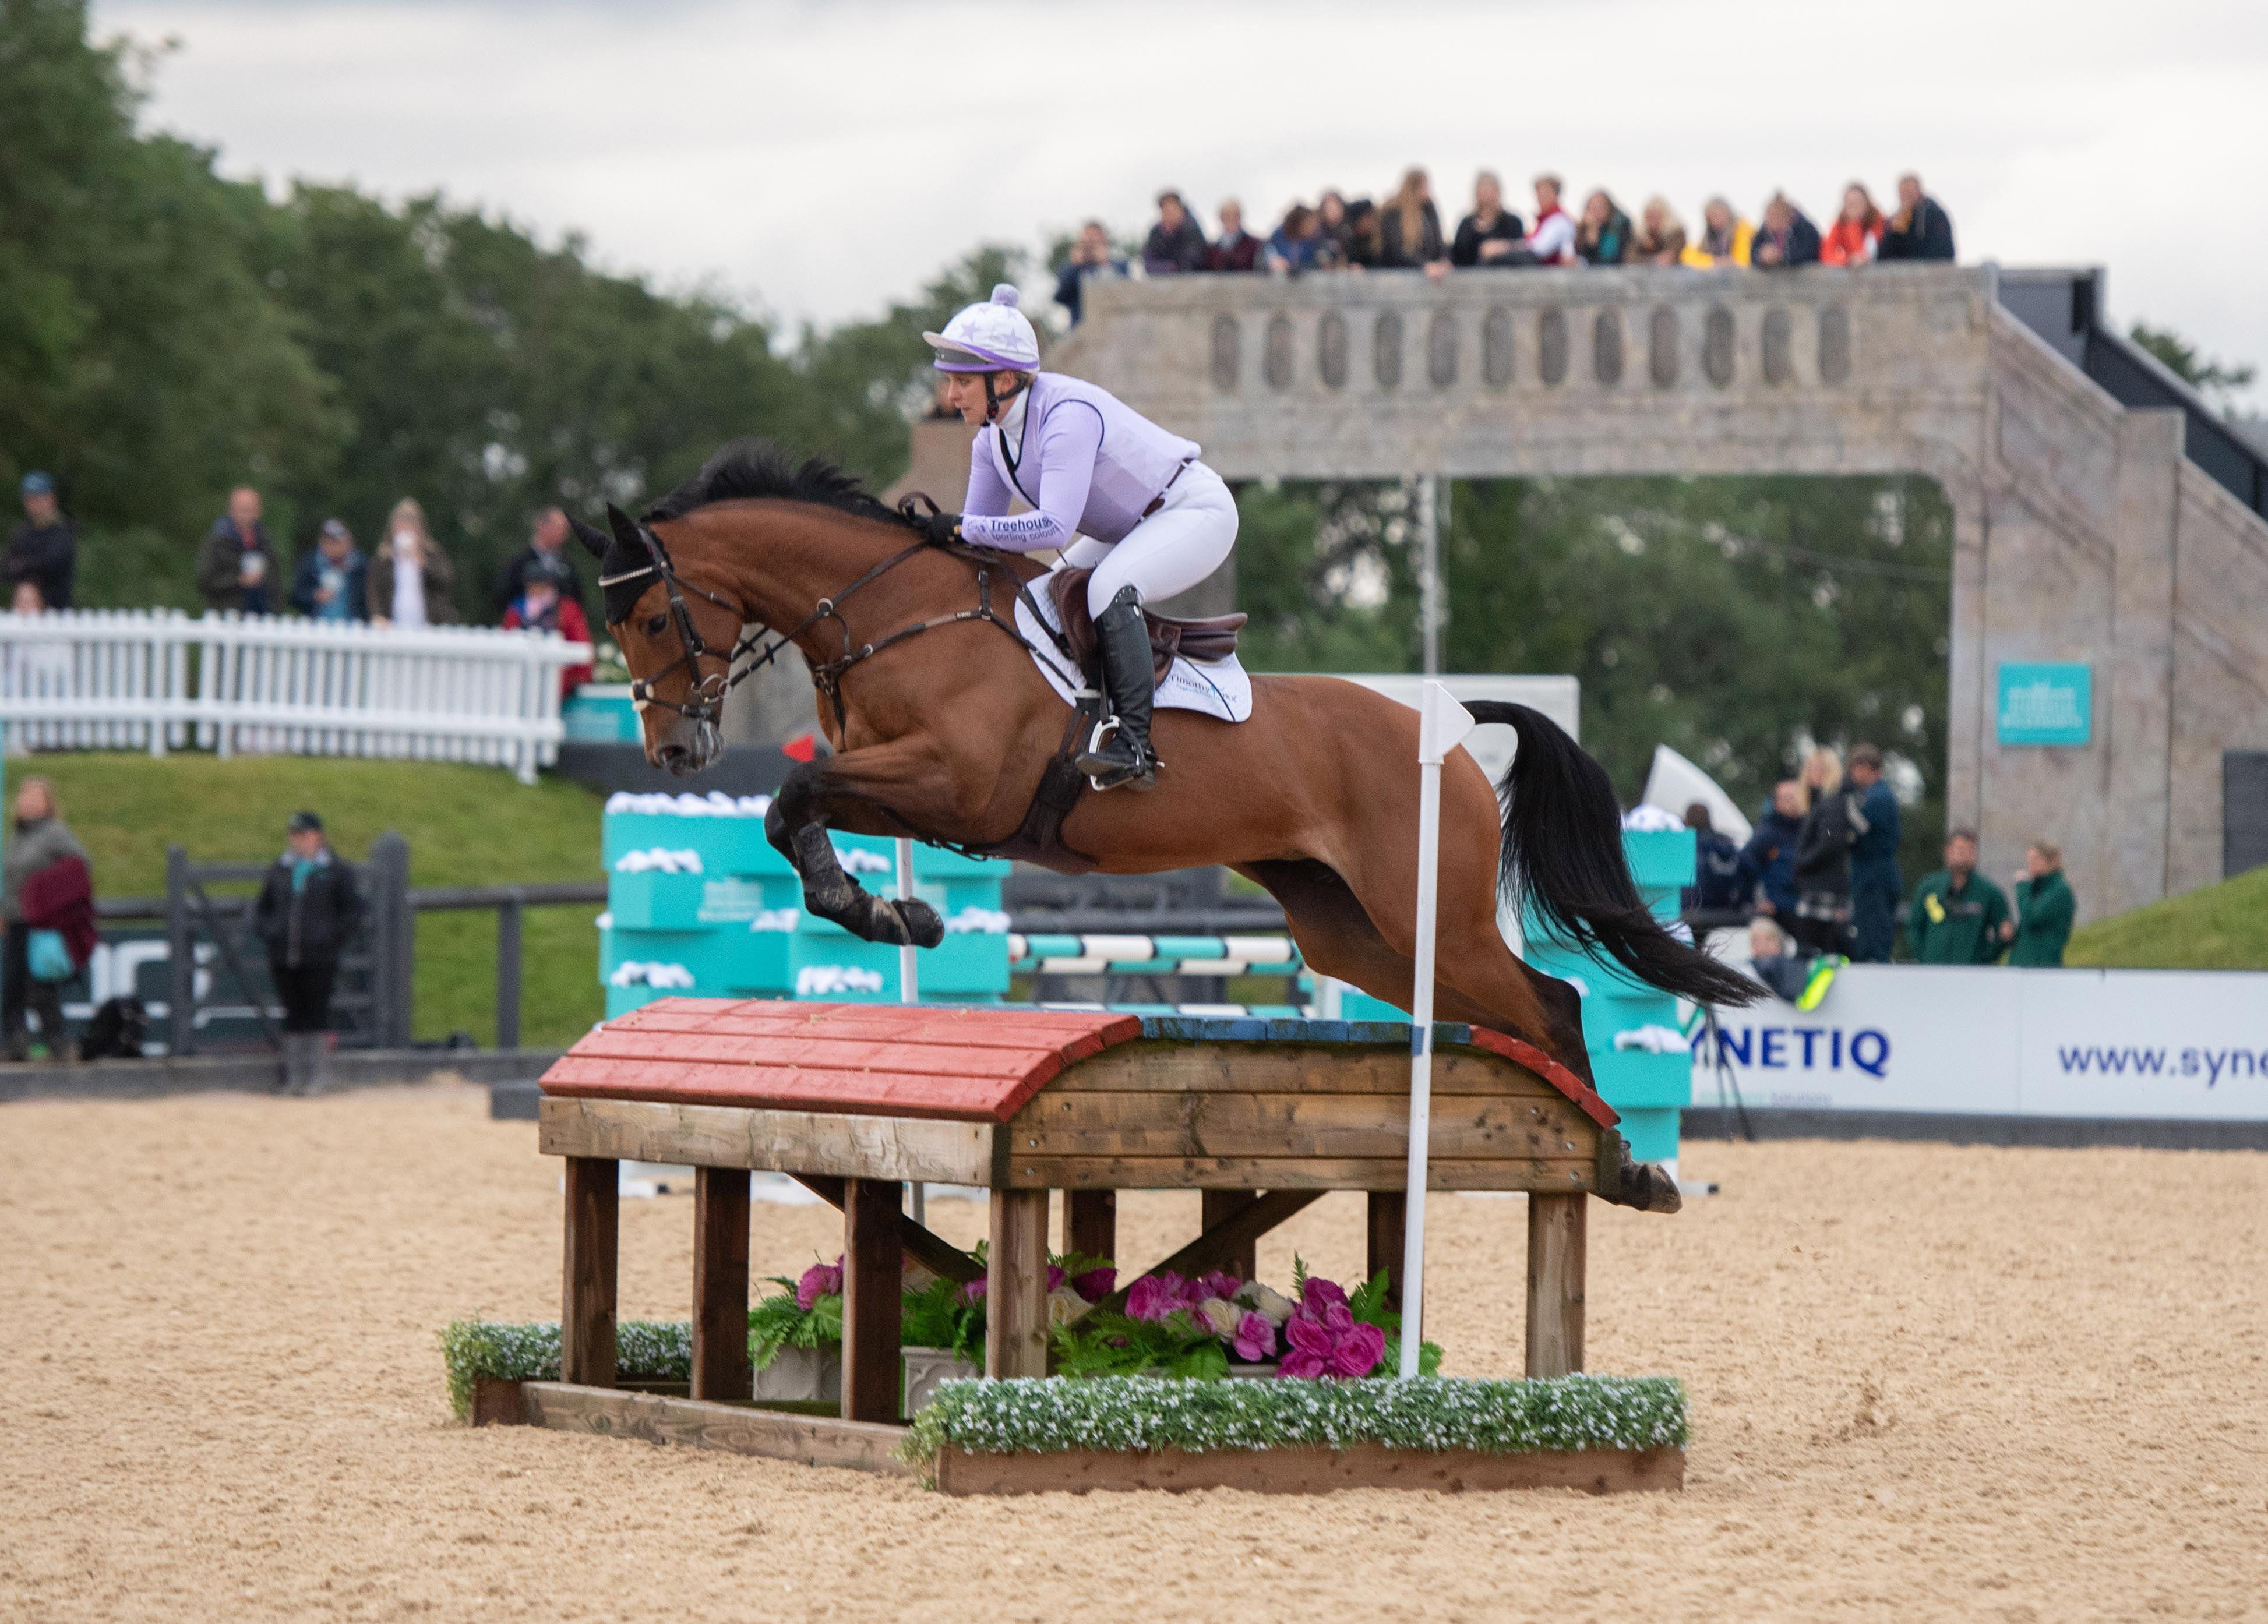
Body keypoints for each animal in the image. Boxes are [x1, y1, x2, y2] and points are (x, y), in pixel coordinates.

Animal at [574, 440, 1759, 1208]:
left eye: (651, 617)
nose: (674, 757)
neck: (893, 616)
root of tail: (1446, 729)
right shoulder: (897, 781)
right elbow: (798, 807)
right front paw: (890, 912)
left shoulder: (956, 783)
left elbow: (791, 800)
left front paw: (874, 907)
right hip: (1352, 929)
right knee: (1502, 1011)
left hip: (1436, 917)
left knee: (1553, 1003)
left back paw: (1624, 1167)